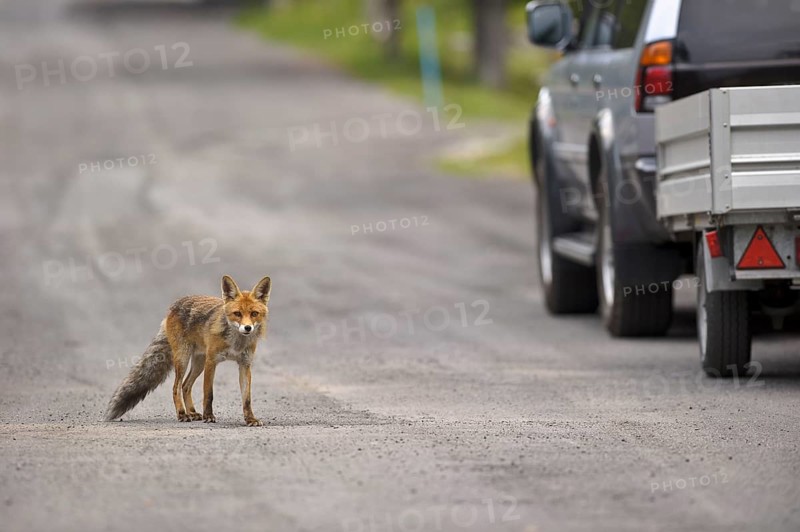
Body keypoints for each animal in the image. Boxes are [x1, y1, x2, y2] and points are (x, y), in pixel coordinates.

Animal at [105, 275, 271, 426]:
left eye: (254, 314)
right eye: (237, 314)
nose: (247, 328)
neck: (236, 343)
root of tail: (174, 305)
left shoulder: (245, 365)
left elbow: (247, 398)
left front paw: (250, 419)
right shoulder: (211, 361)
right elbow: (208, 394)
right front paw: (209, 416)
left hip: (198, 362)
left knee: (185, 386)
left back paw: (192, 412)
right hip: (183, 359)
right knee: (176, 387)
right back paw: (182, 414)